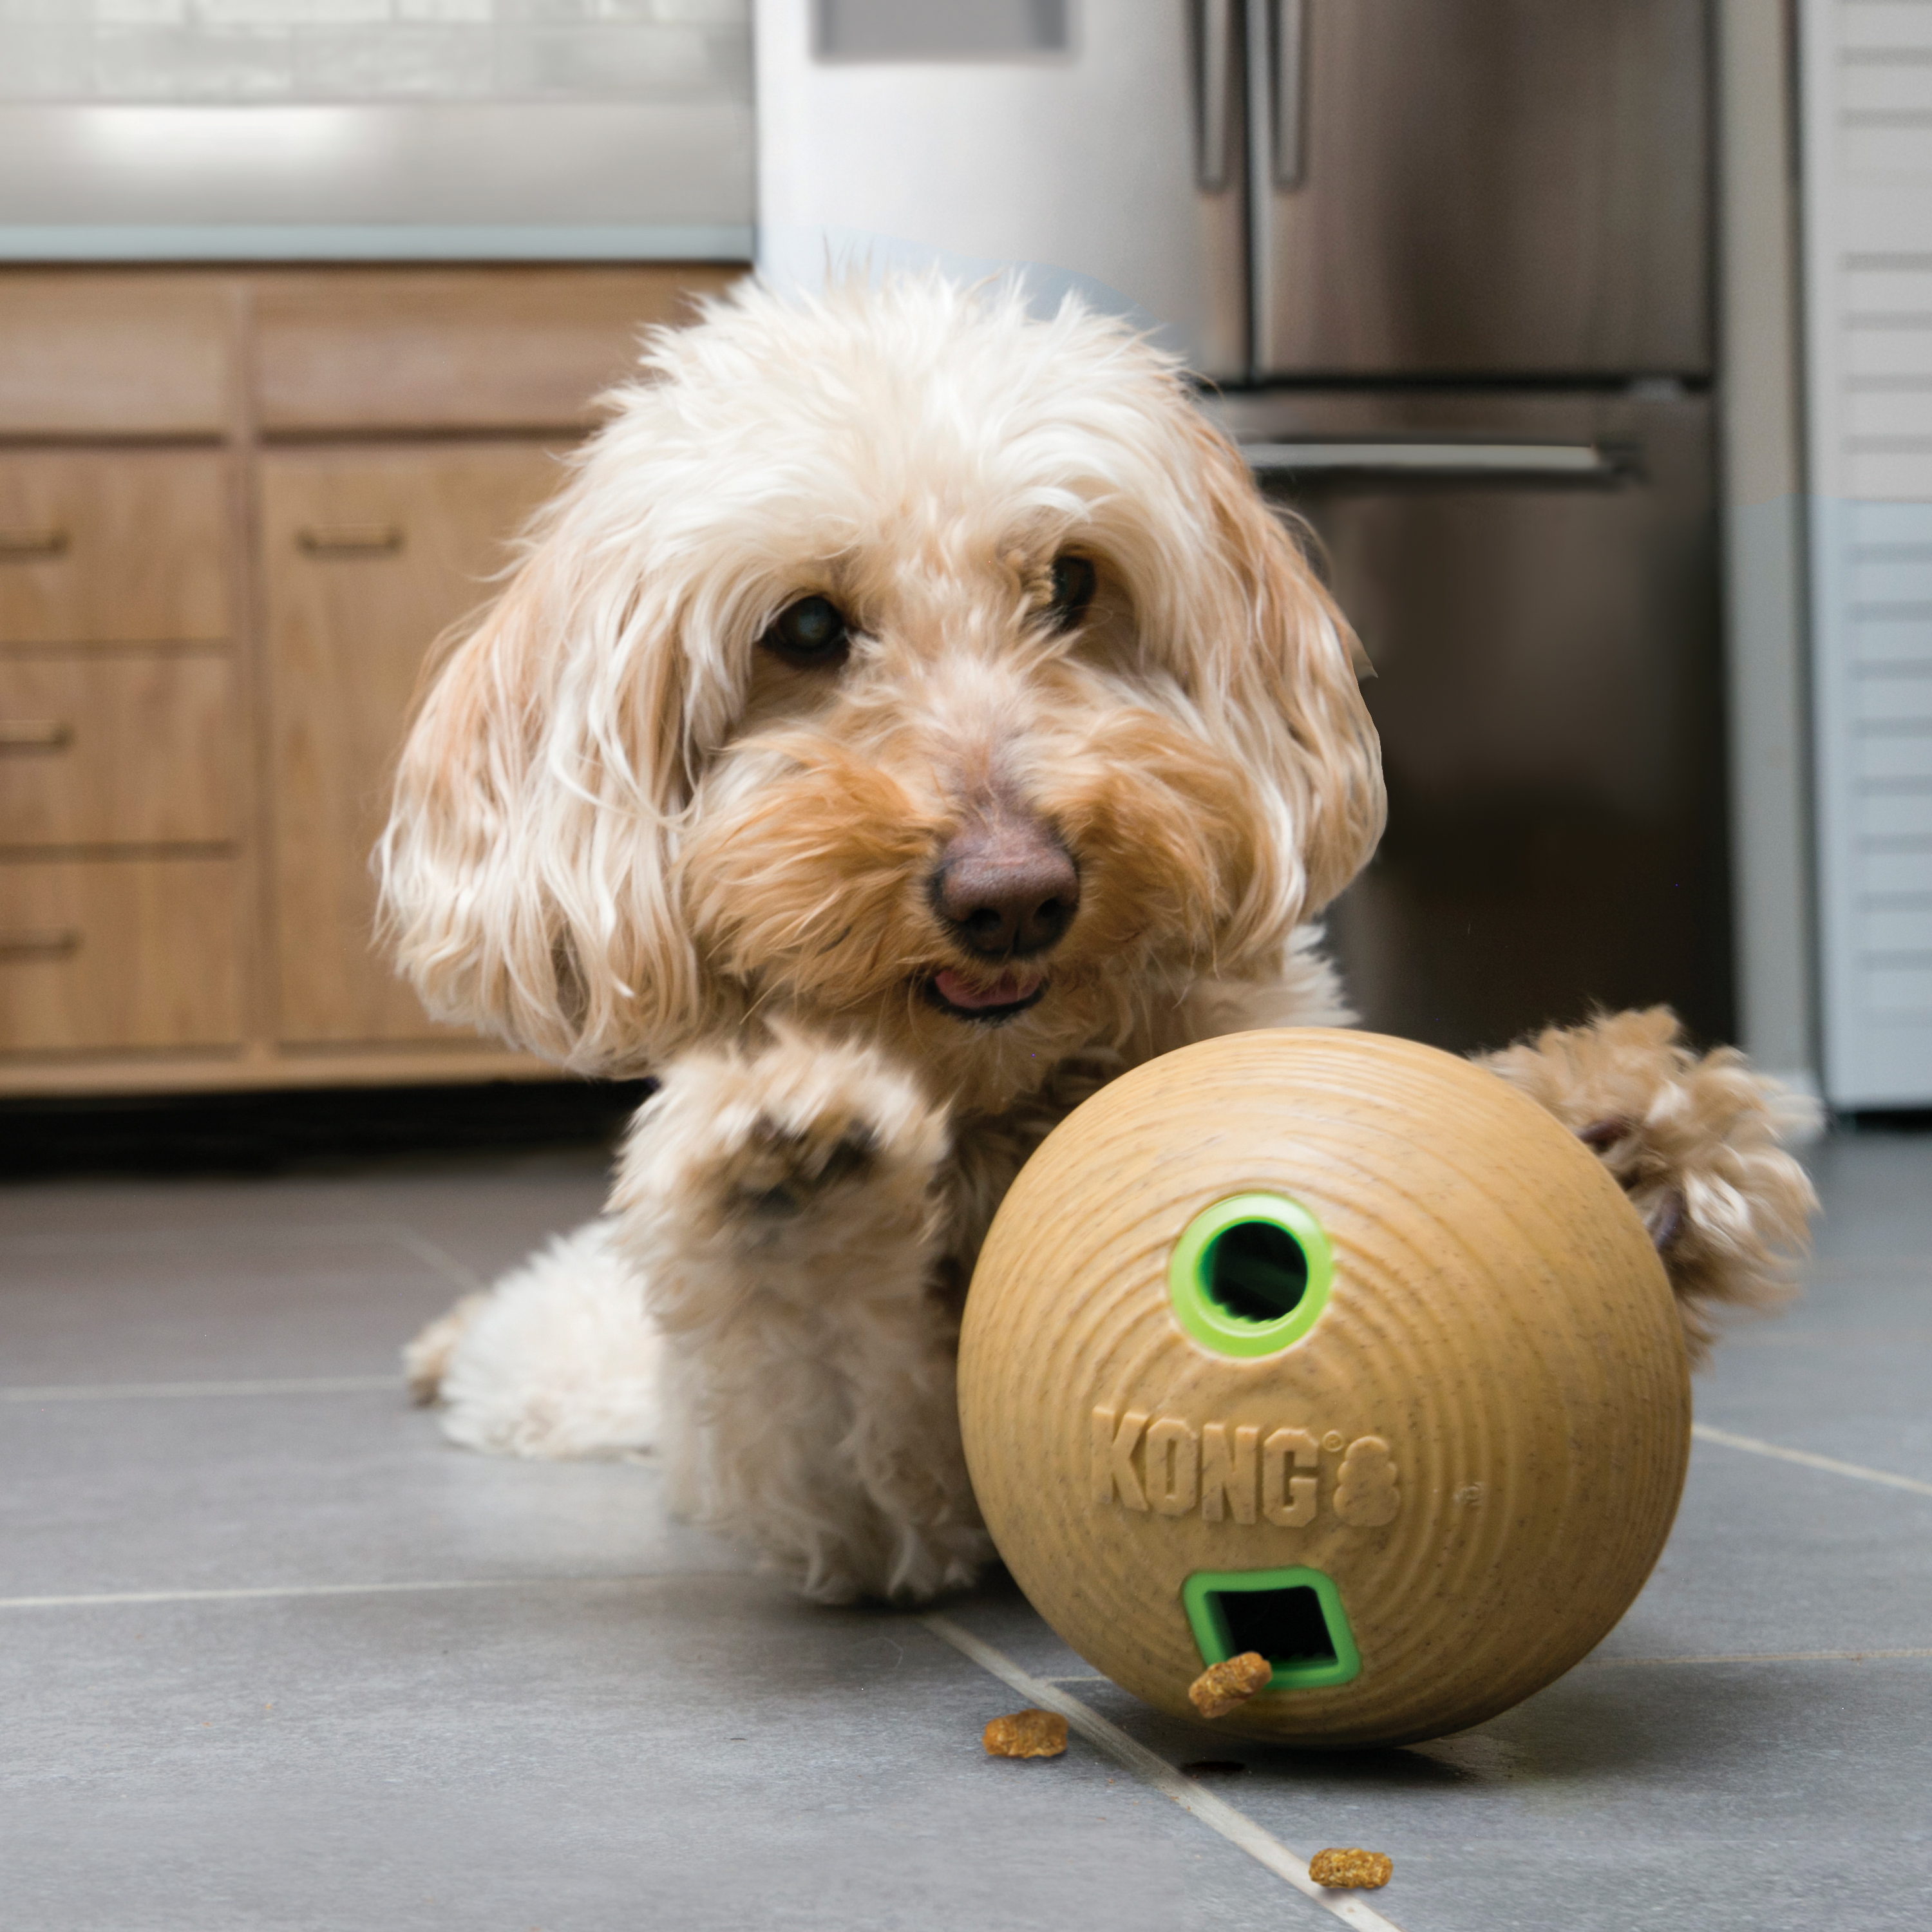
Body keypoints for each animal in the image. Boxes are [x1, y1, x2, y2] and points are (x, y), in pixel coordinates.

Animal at [384, 272, 1816, 1600]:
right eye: (805, 626)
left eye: (1072, 580)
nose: (1013, 894)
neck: (1008, 1089)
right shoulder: (875, 1491)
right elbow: (821, 1364)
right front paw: (789, 1172)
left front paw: (1625, 1144)